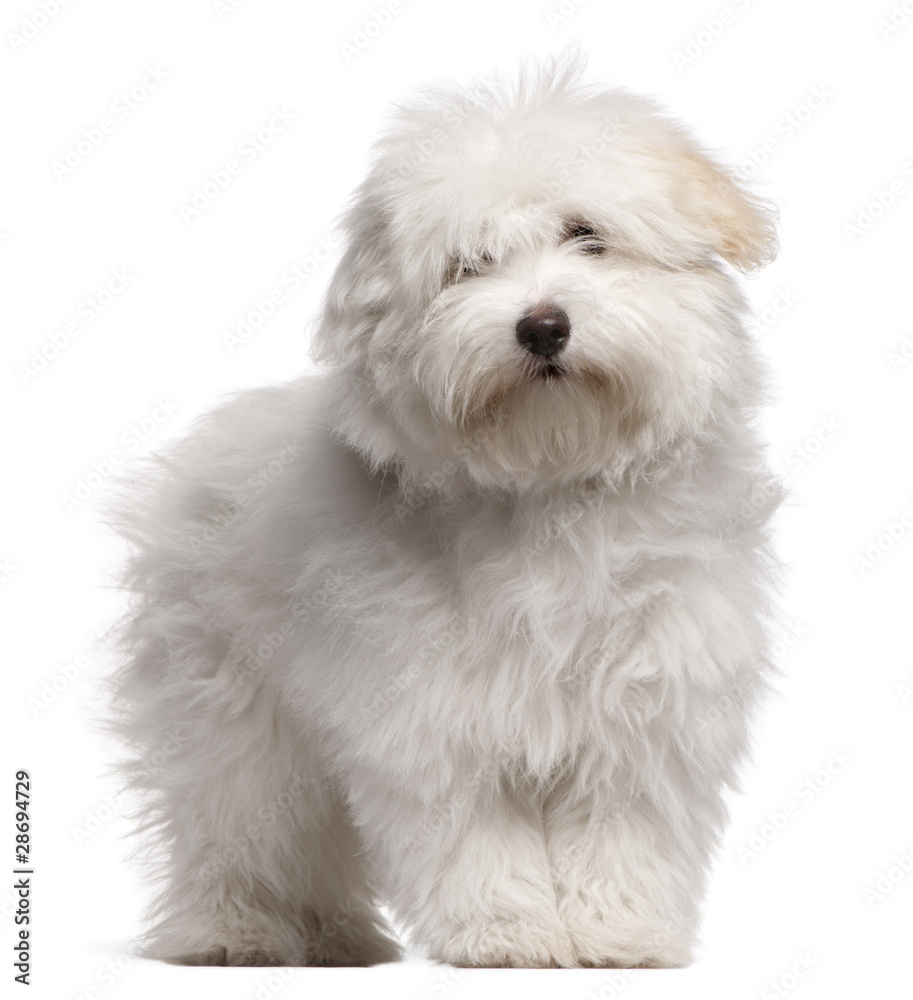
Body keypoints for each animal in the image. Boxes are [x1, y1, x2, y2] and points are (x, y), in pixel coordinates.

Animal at [110, 56, 780, 968]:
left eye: (587, 235)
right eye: (469, 264)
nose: (542, 326)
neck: (549, 481)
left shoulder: (647, 700)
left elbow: (620, 826)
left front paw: (618, 933)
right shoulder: (430, 711)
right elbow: (473, 831)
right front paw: (509, 933)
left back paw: (337, 938)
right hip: (229, 709)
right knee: (237, 826)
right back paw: (234, 934)